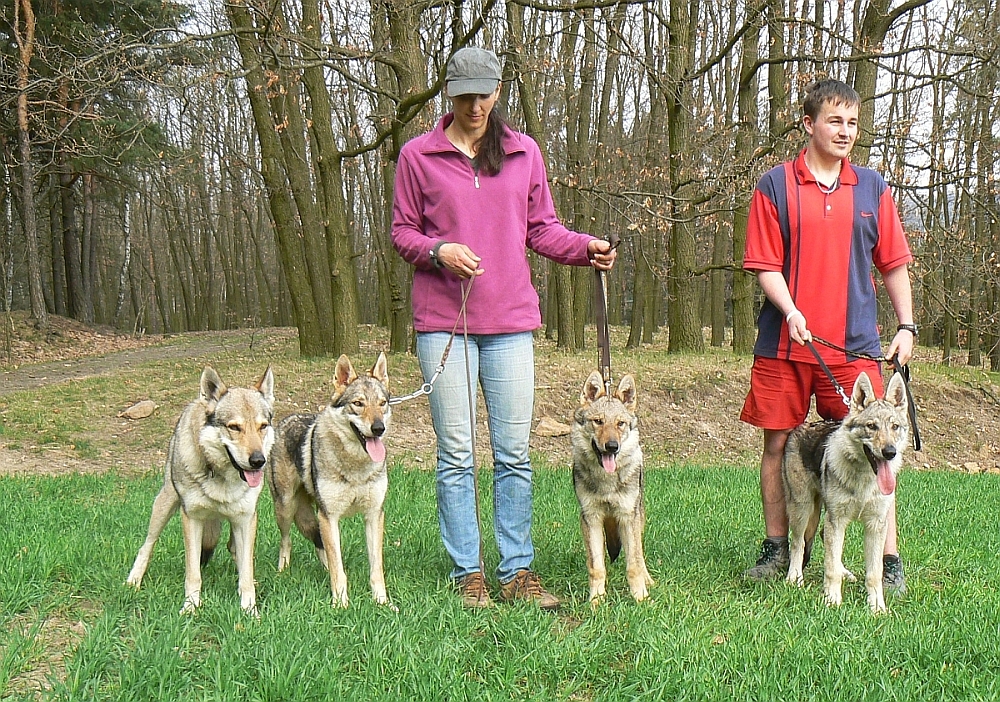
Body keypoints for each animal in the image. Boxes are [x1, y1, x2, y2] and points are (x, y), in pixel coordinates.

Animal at [270, 354, 394, 608]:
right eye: (358, 403)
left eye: (382, 403)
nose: (378, 428)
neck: (356, 466)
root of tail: (286, 418)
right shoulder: (329, 516)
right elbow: (339, 567)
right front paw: (340, 605)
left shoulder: (374, 515)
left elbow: (376, 568)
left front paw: (383, 603)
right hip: (287, 508)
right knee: (287, 540)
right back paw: (283, 570)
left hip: (312, 513)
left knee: (320, 545)